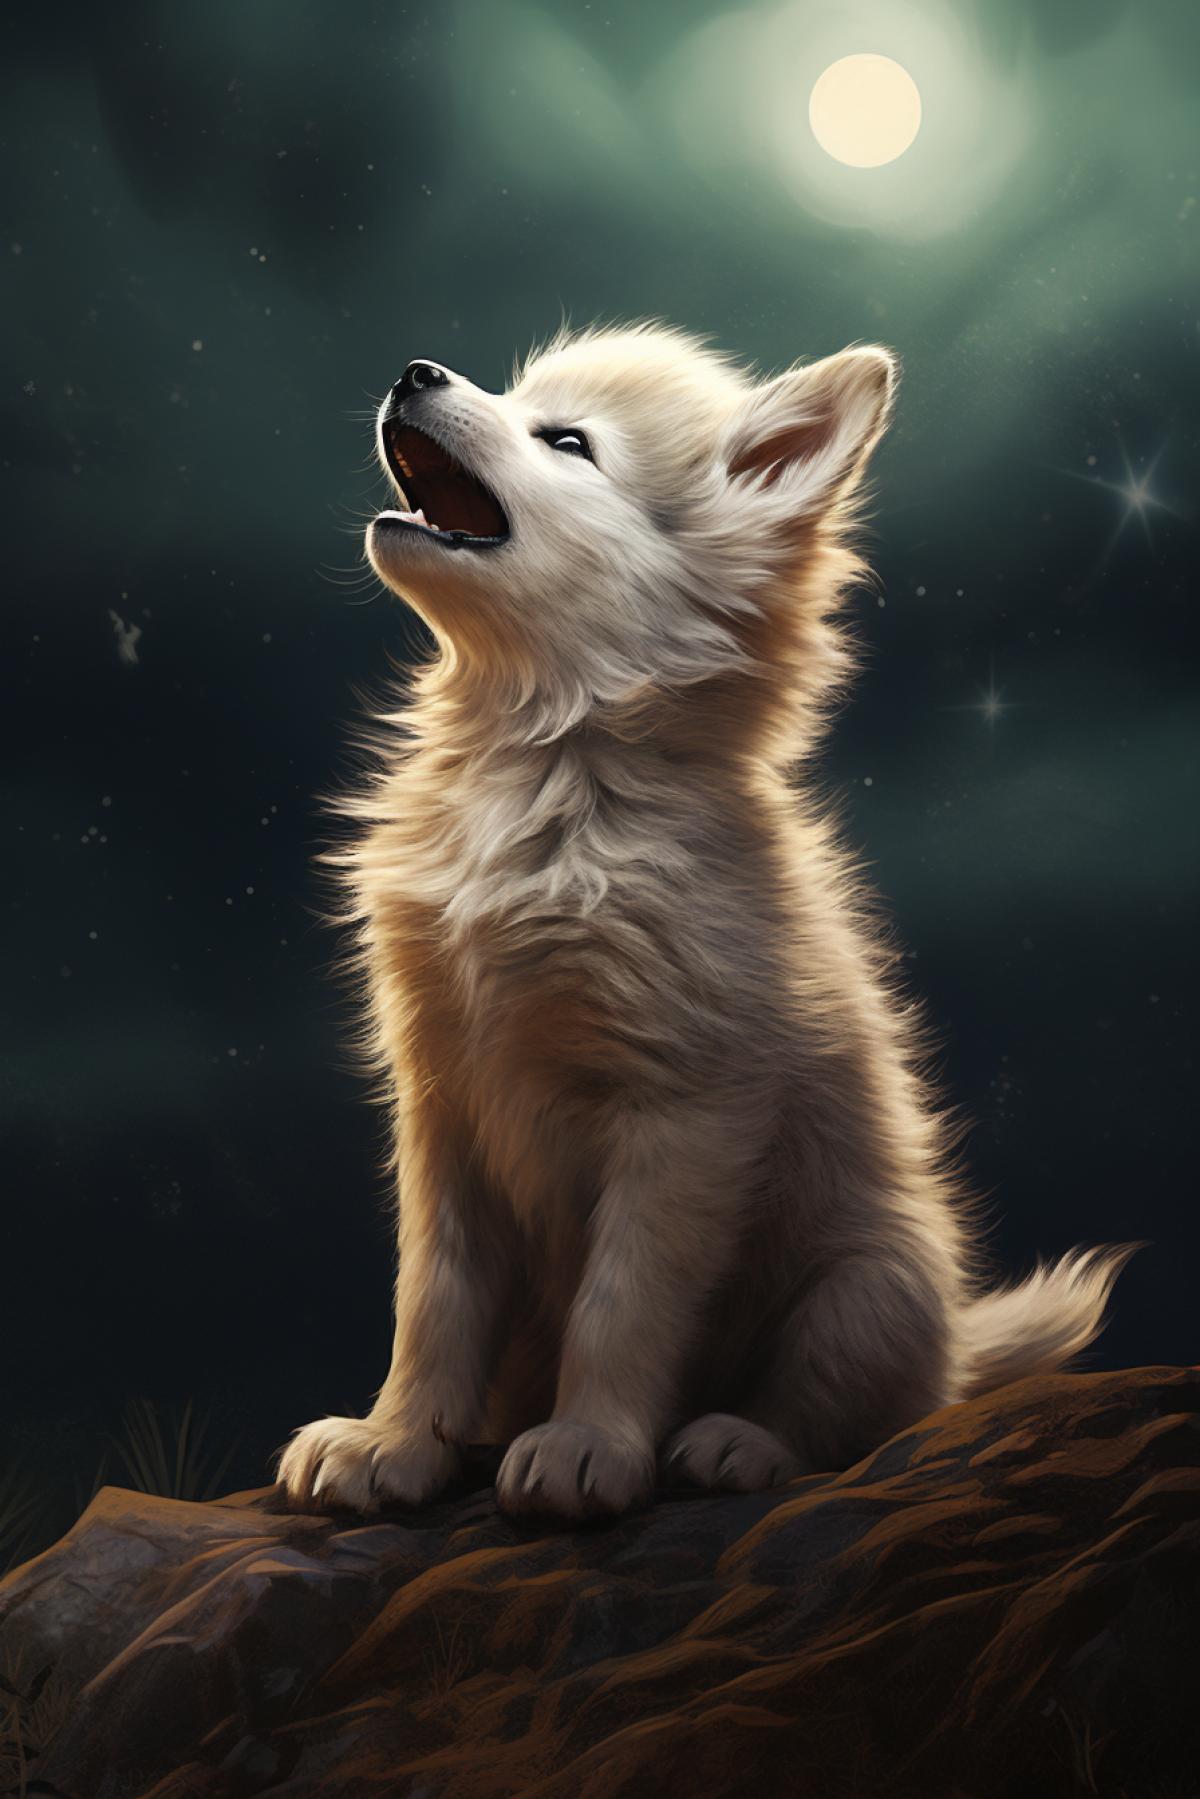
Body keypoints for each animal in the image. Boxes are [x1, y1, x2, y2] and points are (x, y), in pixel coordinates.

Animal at [276, 321, 1133, 1520]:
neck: (540, 763)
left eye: (568, 442)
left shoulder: (686, 1113)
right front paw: (395, 1442)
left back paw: (736, 1441)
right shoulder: (441, 1104)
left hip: (867, 1283)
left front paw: (586, 1444)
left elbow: (623, 1303)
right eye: (523, 399)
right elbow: (432, 1298)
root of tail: (960, 1347)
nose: (415, 371)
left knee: (842, 1415)